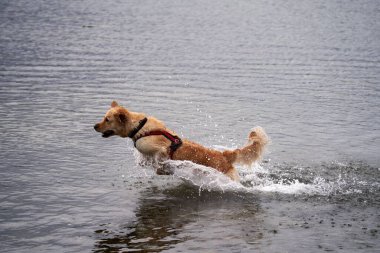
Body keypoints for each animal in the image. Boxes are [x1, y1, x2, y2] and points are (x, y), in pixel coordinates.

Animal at [94, 101, 268, 182]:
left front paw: (162, 170)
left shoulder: (161, 150)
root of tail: (225, 155)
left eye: (107, 119)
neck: (139, 128)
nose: (94, 126)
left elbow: (160, 161)